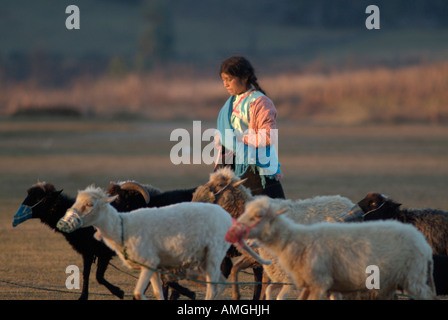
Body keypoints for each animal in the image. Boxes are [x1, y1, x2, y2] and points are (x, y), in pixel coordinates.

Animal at [56, 185, 231, 300]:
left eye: (90, 204)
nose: (64, 222)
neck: (123, 226)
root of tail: (226, 215)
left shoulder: (149, 262)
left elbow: (139, 293)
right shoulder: (152, 266)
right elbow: (157, 293)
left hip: (214, 254)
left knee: (212, 288)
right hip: (204, 258)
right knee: (221, 282)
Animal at [191, 168, 356, 300]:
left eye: (220, 184)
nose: (196, 199)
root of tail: (349, 202)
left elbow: (264, 282)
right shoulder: (255, 256)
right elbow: (235, 268)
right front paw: (236, 295)